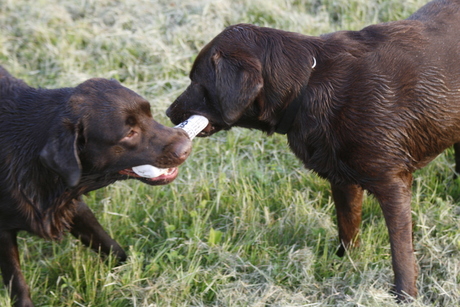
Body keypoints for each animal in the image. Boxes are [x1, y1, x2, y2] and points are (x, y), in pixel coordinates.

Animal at [0, 66, 190, 306]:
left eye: (149, 114)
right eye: (129, 133)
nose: (186, 147)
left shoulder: (72, 206)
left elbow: (109, 244)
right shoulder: (4, 232)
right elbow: (16, 282)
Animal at [167, 0, 460, 302]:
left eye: (197, 82)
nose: (167, 112)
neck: (306, 85)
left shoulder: (394, 184)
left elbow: (401, 251)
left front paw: (405, 295)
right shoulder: (342, 180)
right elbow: (347, 226)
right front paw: (345, 263)